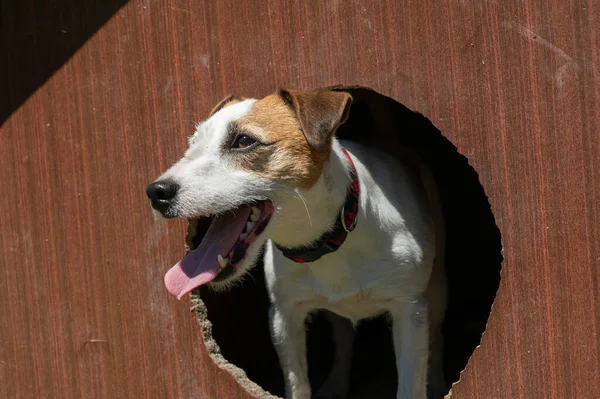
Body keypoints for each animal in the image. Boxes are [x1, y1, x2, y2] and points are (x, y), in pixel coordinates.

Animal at [146, 88, 446, 399]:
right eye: (192, 143)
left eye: (244, 141)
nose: (156, 192)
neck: (330, 238)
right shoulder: (284, 317)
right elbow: (298, 383)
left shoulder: (410, 311)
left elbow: (411, 383)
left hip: (437, 291)